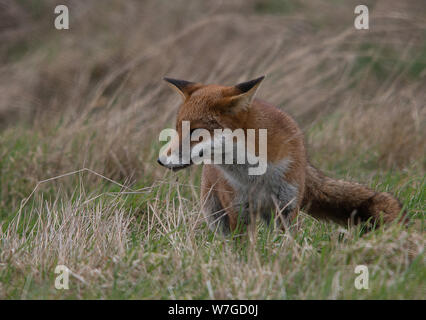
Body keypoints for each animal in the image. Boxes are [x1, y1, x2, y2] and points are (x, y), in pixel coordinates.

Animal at [158, 76, 404, 234]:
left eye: (195, 132)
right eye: (177, 129)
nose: (160, 160)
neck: (254, 176)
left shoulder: (287, 206)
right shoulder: (238, 210)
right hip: (214, 212)